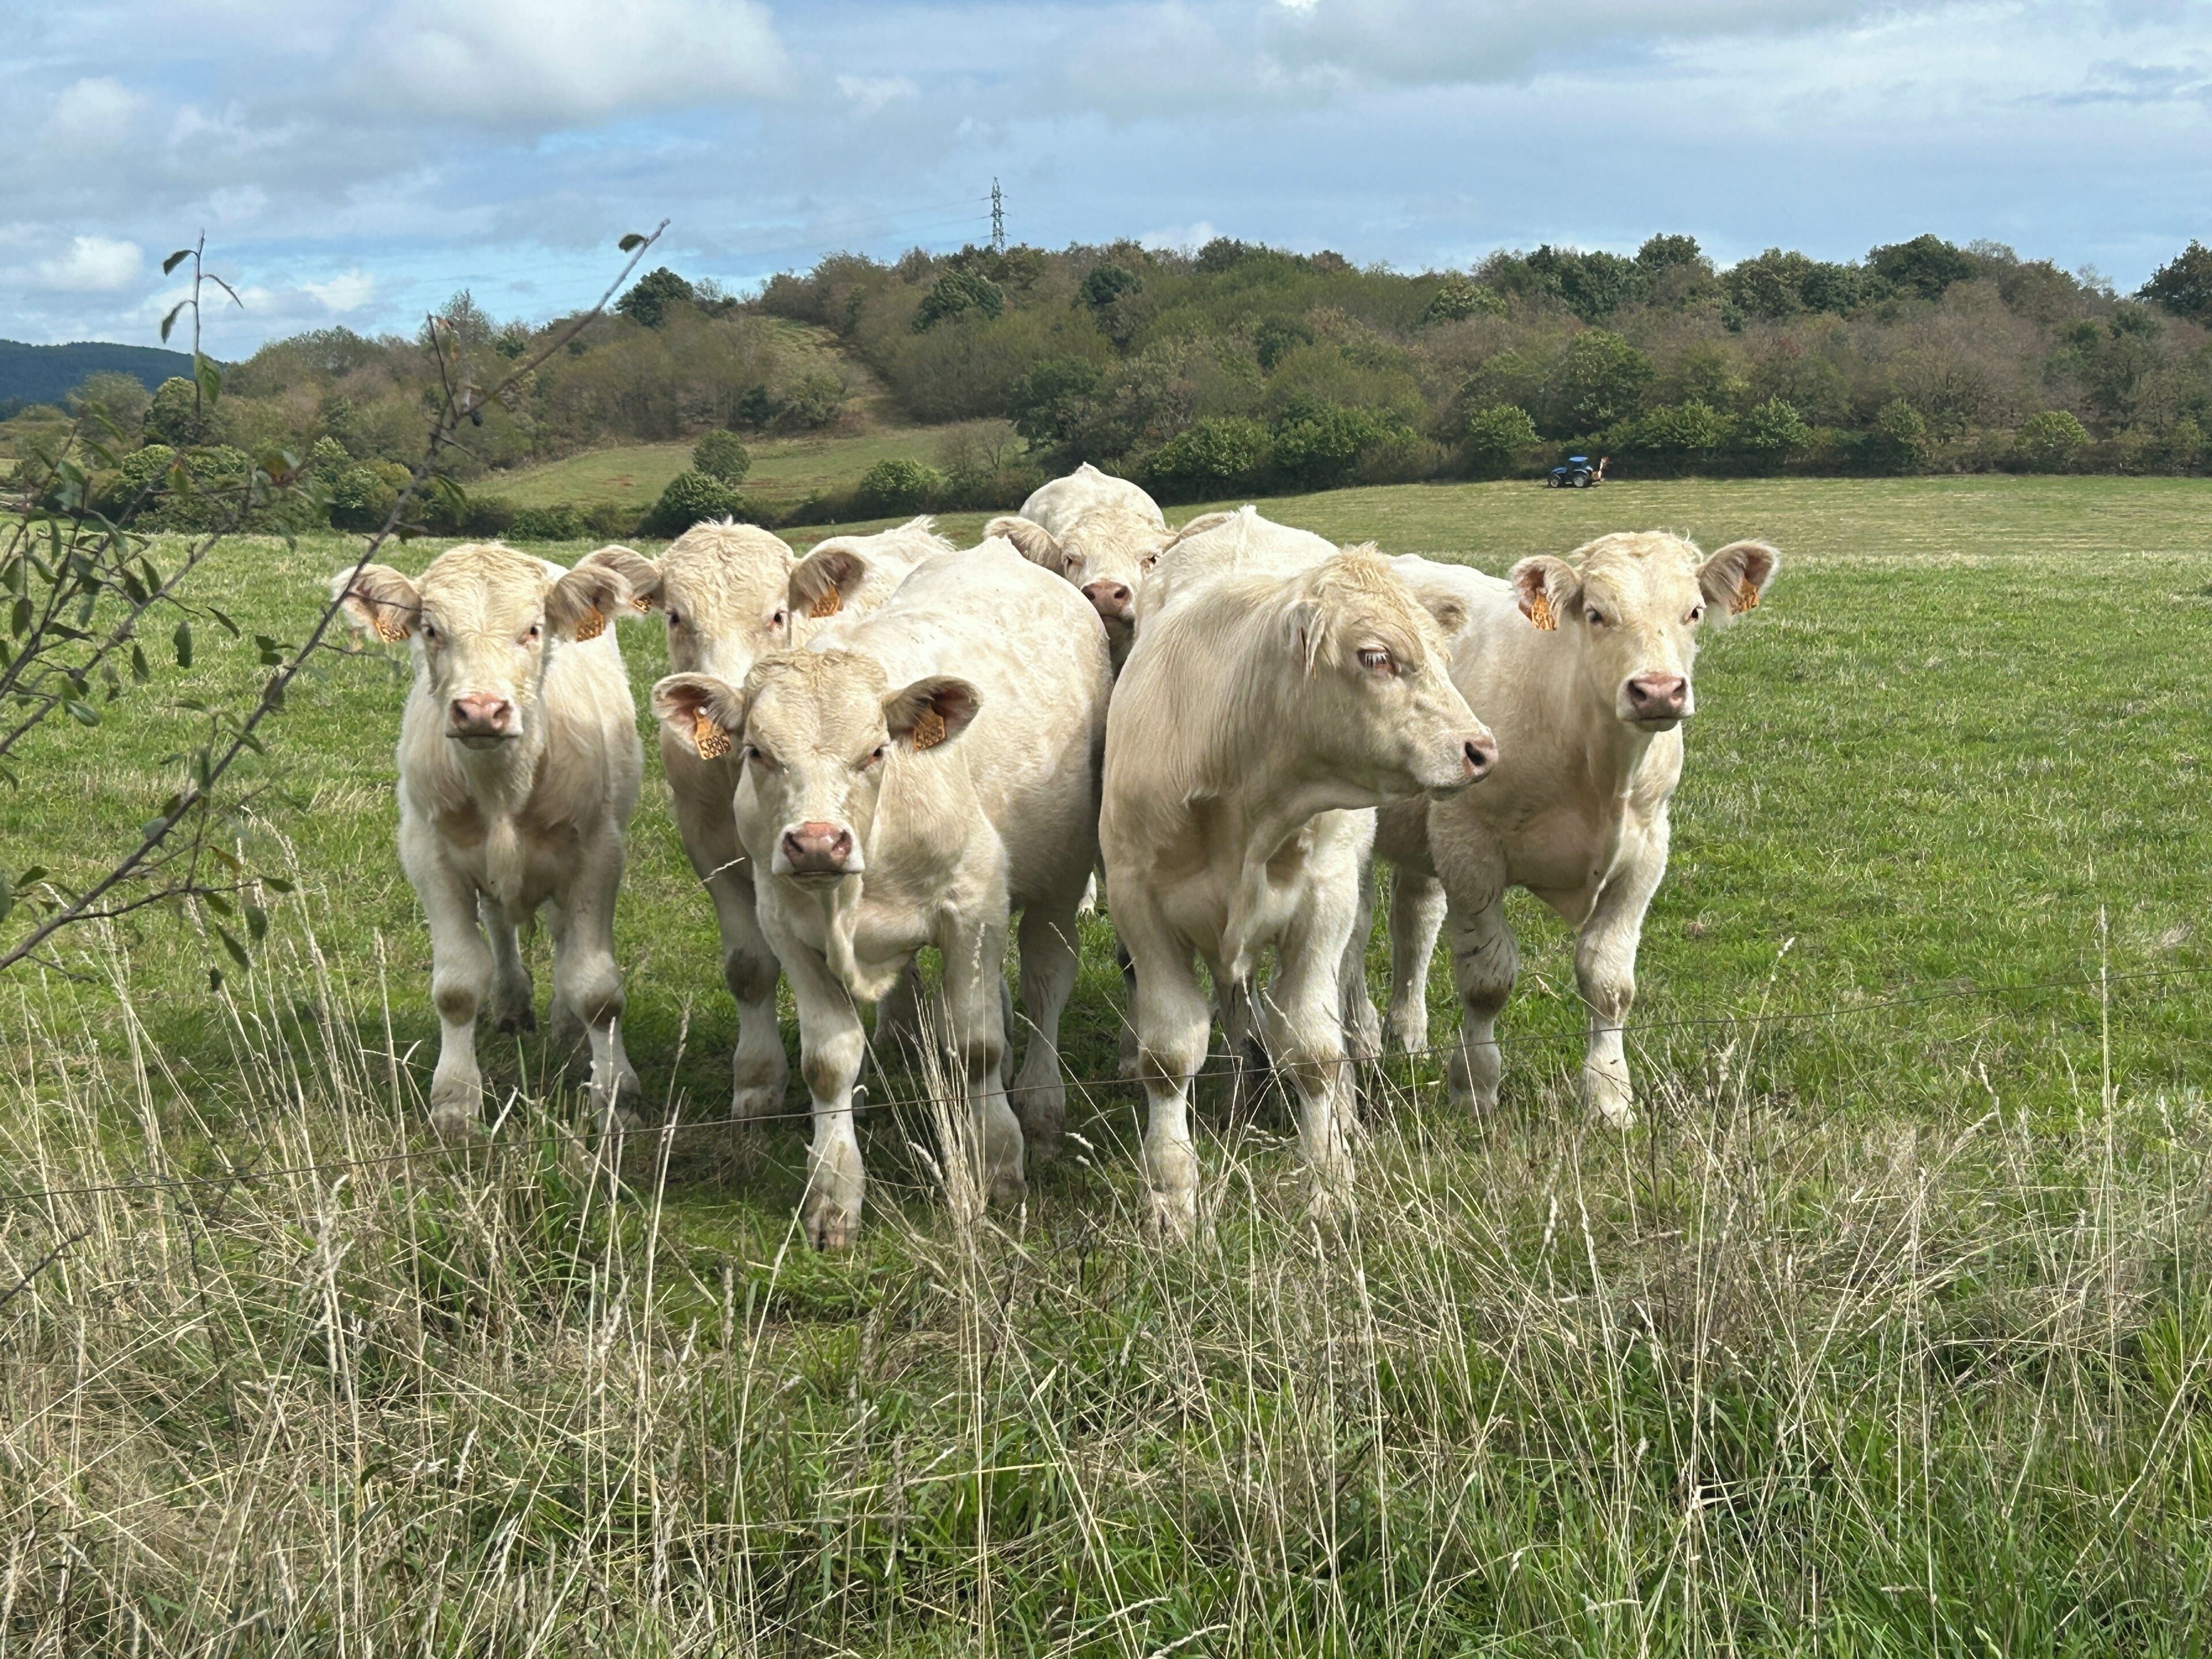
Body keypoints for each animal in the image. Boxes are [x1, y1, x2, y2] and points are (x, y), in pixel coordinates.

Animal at [330, 542, 642, 1138]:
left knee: (563, 936)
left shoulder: (599, 854)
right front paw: (455, 1098)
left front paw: (615, 1092)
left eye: (534, 628)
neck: (503, 790)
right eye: (431, 629)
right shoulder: (429, 857)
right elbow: (456, 988)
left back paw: (567, 1030)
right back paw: (512, 1002)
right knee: (499, 924)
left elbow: (597, 989)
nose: (480, 710)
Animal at [650, 537, 1112, 1248]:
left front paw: (997, 1161)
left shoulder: (974, 907)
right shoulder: (785, 924)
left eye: (874, 752)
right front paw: (833, 1195)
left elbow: (975, 1046)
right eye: (757, 752)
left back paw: (1040, 1100)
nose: (816, 842)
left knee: (1045, 986)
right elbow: (828, 1063)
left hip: (1061, 880)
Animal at [1101, 538, 1495, 1238]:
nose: (1481, 750)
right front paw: (1173, 1197)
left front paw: (1330, 1182)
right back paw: (1240, 1092)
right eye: (1376, 656)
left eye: (1443, 658)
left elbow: (1315, 1049)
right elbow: (1169, 1056)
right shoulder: (1138, 907)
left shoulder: (1323, 906)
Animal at [1370, 532, 1778, 1125]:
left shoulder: (1646, 851)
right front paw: (1474, 1088)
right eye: (1596, 613)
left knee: (1414, 921)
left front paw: (1610, 1098)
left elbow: (1607, 980)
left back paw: (1405, 1037)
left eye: (1694, 612)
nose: (1658, 690)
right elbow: (1487, 980)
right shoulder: (1468, 846)